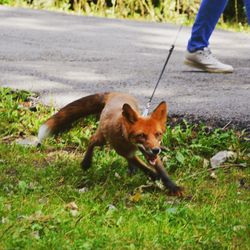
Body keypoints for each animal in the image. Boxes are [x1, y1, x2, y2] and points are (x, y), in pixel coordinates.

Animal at [38, 93, 184, 196]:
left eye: (158, 134)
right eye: (141, 135)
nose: (156, 150)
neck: (126, 137)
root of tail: (115, 94)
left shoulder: (147, 154)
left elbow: (161, 171)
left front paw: (172, 186)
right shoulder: (124, 152)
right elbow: (145, 168)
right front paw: (154, 177)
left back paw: (131, 169)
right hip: (101, 138)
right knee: (91, 140)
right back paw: (86, 162)